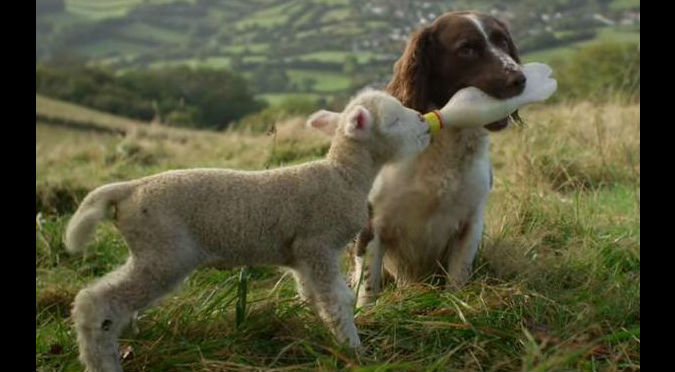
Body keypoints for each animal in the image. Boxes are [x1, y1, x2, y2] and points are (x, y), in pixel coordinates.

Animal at [66, 89, 430, 372]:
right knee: (94, 303)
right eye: (394, 120)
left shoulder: (300, 255)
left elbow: (311, 295)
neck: (343, 176)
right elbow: (338, 300)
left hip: (150, 250)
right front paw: (355, 350)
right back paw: (103, 362)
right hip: (164, 251)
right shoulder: (318, 244)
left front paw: (315, 333)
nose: (426, 122)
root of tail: (128, 190)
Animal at [354, 10, 528, 306]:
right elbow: (367, 287)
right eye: (466, 49)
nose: (519, 79)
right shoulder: (372, 224)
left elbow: (458, 277)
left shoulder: (470, 221)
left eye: (503, 41)